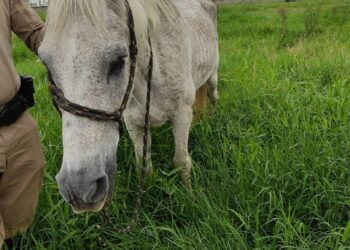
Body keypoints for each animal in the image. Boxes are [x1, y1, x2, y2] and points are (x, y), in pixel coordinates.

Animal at [39, 0, 219, 213]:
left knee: (213, 96)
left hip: (213, 77)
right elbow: (144, 163)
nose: (79, 188)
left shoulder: (181, 115)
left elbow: (182, 162)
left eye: (118, 61)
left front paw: (190, 198)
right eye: (46, 64)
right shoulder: (134, 123)